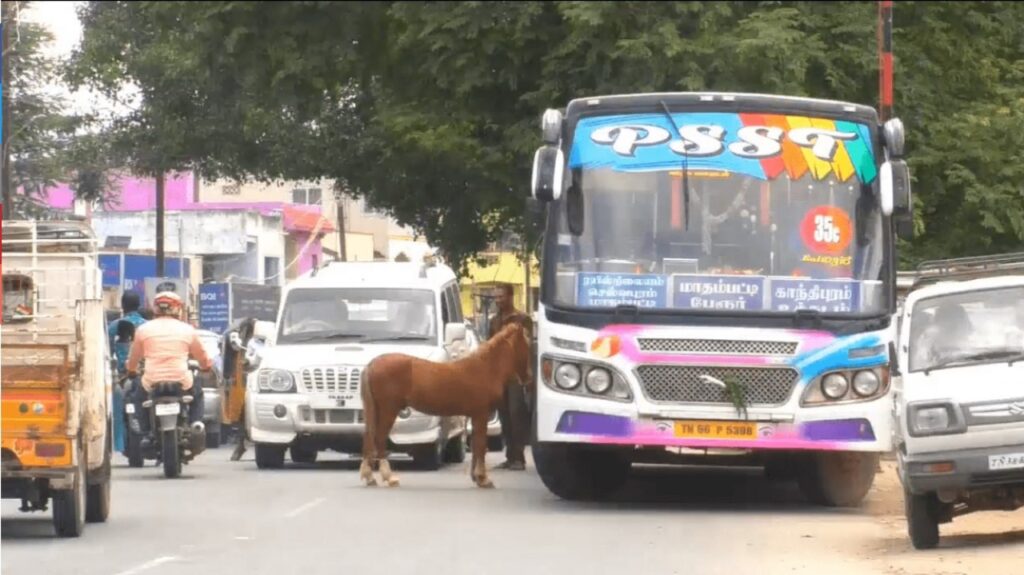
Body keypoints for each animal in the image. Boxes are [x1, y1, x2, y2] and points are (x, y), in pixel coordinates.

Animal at [360, 319, 532, 484]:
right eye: (526, 344)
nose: (528, 378)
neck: (485, 368)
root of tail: (372, 364)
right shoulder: (481, 415)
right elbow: (480, 445)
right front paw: (483, 478)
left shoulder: (475, 416)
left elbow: (476, 446)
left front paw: (476, 477)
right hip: (388, 410)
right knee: (379, 438)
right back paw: (388, 476)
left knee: (370, 437)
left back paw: (369, 476)